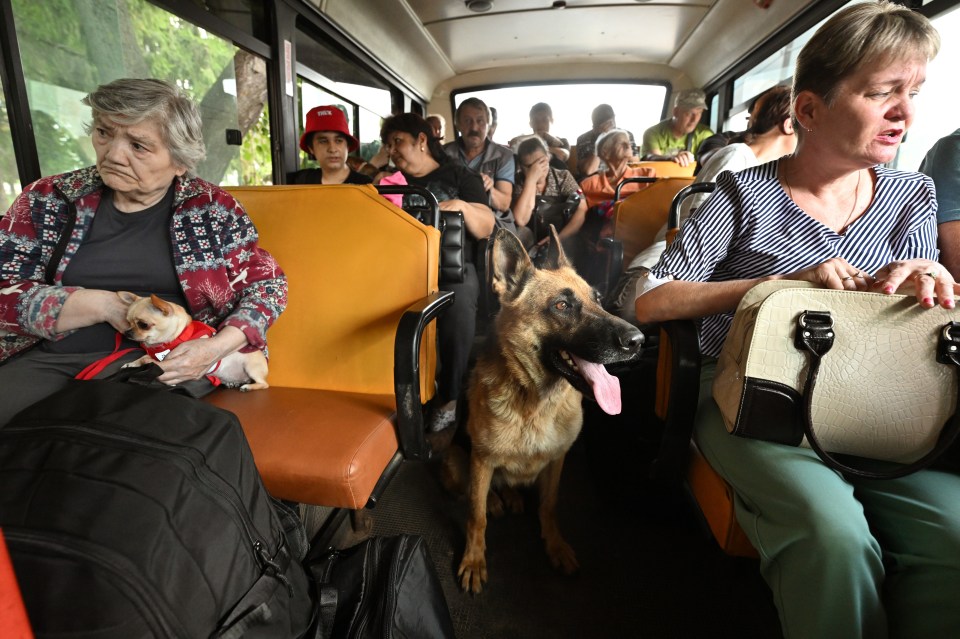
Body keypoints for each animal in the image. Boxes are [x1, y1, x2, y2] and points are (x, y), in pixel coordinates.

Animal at [120, 292, 272, 392]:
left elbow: (148, 360)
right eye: (127, 322)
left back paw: (249, 386)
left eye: (143, 325)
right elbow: (143, 357)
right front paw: (131, 364)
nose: (126, 332)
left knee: (264, 384)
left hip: (252, 368)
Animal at [458, 226, 644, 596]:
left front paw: (555, 545)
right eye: (562, 305)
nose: (638, 340)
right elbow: (475, 515)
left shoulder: (557, 460)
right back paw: (498, 499)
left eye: (597, 299)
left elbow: (549, 504)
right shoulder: (482, 460)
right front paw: (474, 559)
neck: (535, 402)